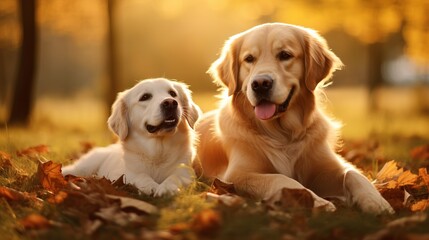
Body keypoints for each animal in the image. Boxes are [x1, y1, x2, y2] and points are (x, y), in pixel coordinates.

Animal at [62, 78, 201, 196]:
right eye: (145, 97)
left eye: (172, 93)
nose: (170, 103)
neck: (158, 152)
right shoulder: (126, 175)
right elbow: (141, 176)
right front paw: (152, 186)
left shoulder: (185, 171)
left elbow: (175, 177)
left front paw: (166, 188)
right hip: (86, 165)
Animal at [196, 23, 392, 214]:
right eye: (249, 59)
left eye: (285, 55)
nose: (260, 84)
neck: (283, 134)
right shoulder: (236, 175)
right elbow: (281, 179)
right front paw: (317, 201)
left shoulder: (328, 167)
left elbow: (354, 174)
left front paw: (377, 202)